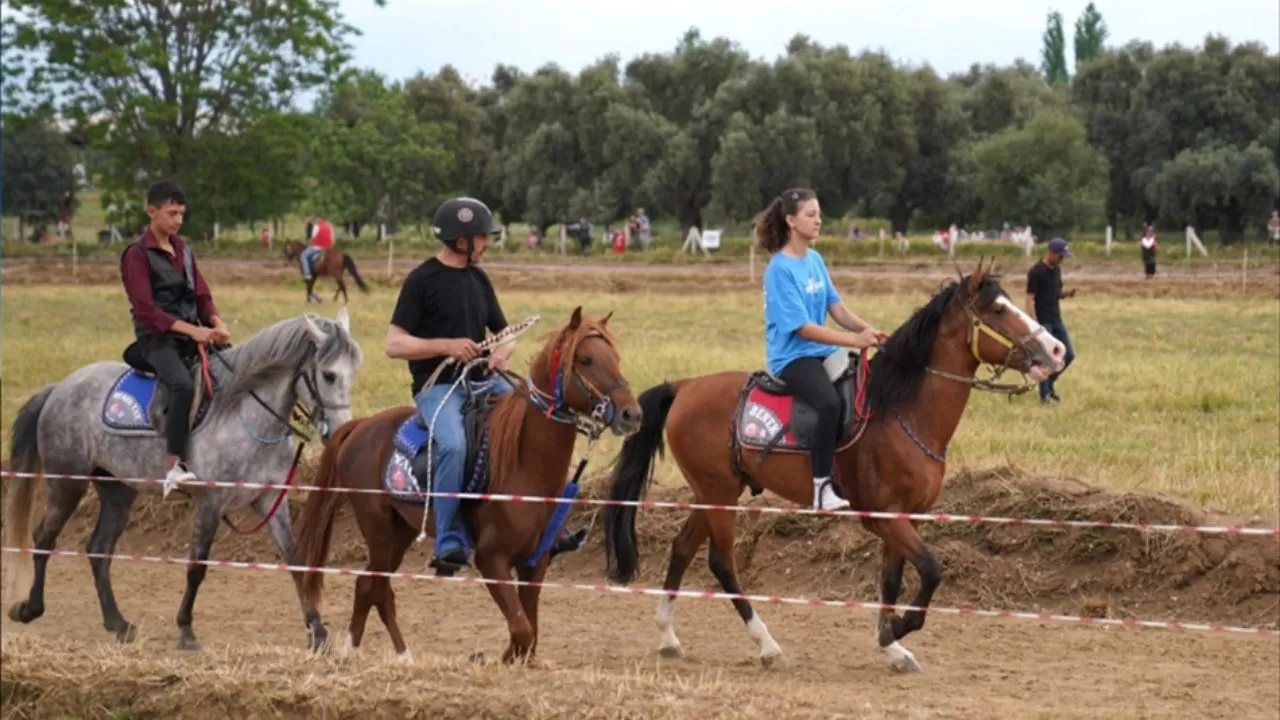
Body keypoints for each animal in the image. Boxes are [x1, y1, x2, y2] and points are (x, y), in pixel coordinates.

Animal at [2, 307, 363, 650]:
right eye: (328, 375)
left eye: (353, 373)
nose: (342, 431)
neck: (245, 414)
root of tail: (59, 388)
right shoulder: (210, 503)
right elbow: (196, 566)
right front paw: (186, 630)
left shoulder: (270, 500)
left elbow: (296, 560)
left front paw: (317, 631)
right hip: (67, 483)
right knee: (43, 539)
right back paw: (30, 608)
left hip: (117, 491)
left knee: (99, 549)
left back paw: (118, 624)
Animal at [294, 304, 645, 661]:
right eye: (586, 359)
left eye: (615, 357)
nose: (631, 414)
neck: (525, 468)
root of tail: (361, 426)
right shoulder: (491, 560)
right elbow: (522, 631)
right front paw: (490, 659)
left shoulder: (535, 563)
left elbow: (529, 635)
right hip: (377, 527)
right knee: (376, 586)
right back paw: (372, 652)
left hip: (400, 530)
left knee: (369, 586)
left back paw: (382, 653)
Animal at [604, 260, 1064, 671]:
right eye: (998, 310)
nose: (1056, 349)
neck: (900, 410)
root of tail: (684, 387)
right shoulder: (884, 517)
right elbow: (931, 572)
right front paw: (896, 631)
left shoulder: (905, 517)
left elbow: (892, 581)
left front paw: (892, 647)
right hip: (718, 495)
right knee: (721, 564)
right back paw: (767, 646)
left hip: (714, 492)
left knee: (682, 548)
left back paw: (668, 637)